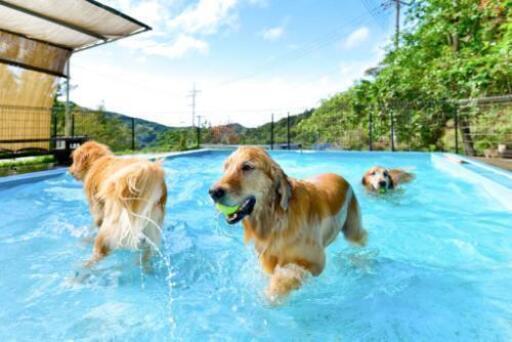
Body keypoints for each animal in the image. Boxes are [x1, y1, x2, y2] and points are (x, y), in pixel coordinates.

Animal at [68, 140, 167, 268]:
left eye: (74, 160)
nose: (70, 171)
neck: (98, 161)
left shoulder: (97, 207)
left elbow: (97, 221)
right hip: (150, 224)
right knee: (148, 250)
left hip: (111, 224)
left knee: (101, 250)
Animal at [209, 147, 368, 302]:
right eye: (226, 167)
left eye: (247, 167)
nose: (213, 192)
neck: (277, 218)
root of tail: (339, 176)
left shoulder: (315, 262)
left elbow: (286, 275)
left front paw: (271, 295)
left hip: (353, 229)